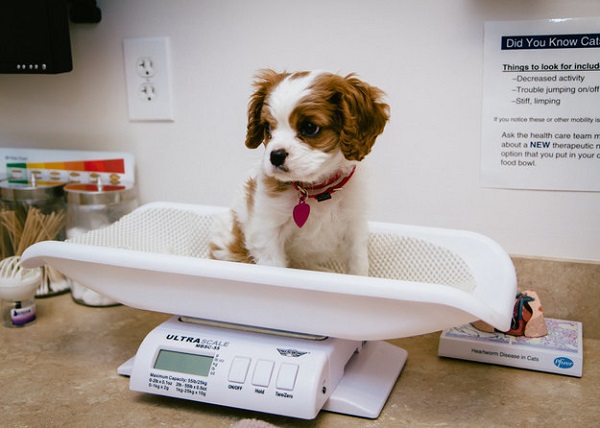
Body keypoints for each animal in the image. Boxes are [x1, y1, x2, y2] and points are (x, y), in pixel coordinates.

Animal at [210, 70, 390, 276]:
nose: (276, 156)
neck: (317, 190)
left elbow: (357, 265)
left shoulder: (354, 227)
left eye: (310, 128)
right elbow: (274, 264)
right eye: (267, 128)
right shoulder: (267, 232)